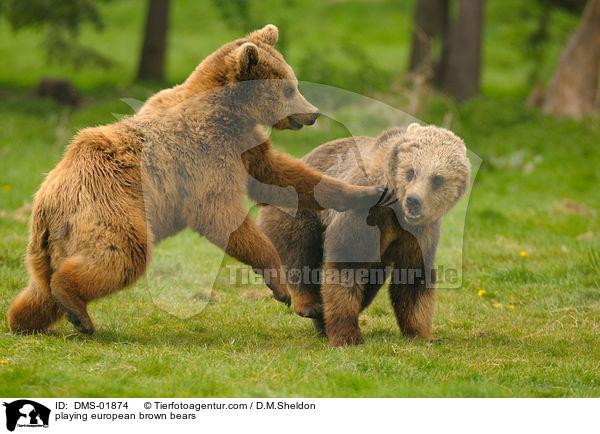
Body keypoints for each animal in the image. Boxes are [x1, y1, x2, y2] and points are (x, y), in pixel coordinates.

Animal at [5, 24, 390, 336]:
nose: (313, 113)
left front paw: (373, 191)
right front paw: (278, 285)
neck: (230, 112)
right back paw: (75, 307)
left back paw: (26, 320)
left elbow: (283, 176)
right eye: (288, 89)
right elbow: (220, 213)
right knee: (121, 255)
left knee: (40, 290)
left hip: (50, 245)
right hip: (109, 209)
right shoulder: (204, 151)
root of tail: (46, 202)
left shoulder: (244, 145)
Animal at [256, 124, 468, 348]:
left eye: (437, 178)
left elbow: (413, 278)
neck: (396, 212)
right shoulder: (364, 215)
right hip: (300, 209)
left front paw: (423, 334)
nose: (414, 200)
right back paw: (310, 305)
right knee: (300, 251)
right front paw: (348, 335)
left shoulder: (418, 234)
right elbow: (346, 264)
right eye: (411, 171)